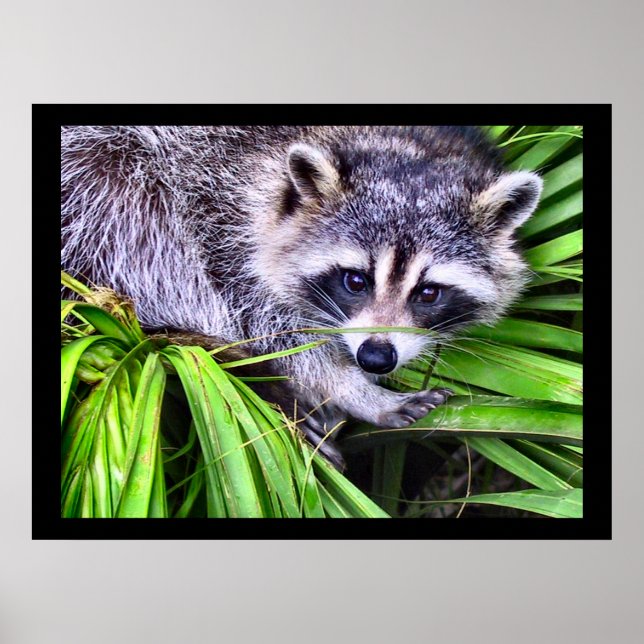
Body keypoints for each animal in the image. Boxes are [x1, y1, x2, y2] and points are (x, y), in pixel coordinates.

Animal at [61, 125, 542, 468]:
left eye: (428, 293)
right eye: (355, 281)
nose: (375, 358)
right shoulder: (218, 208)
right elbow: (269, 326)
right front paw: (350, 388)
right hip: (98, 179)